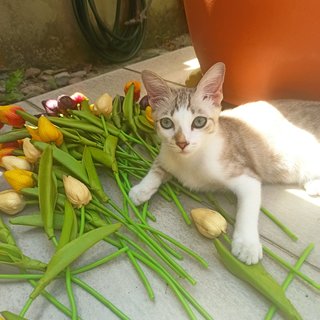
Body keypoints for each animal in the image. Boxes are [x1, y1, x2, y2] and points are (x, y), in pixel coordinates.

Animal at [127, 62, 320, 264]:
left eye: (199, 121)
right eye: (166, 123)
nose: (182, 143)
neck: (191, 161)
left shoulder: (246, 175)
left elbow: (247, 210)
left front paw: (247, 244)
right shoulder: (166, 153)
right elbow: (157, 167)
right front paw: (141, 189)